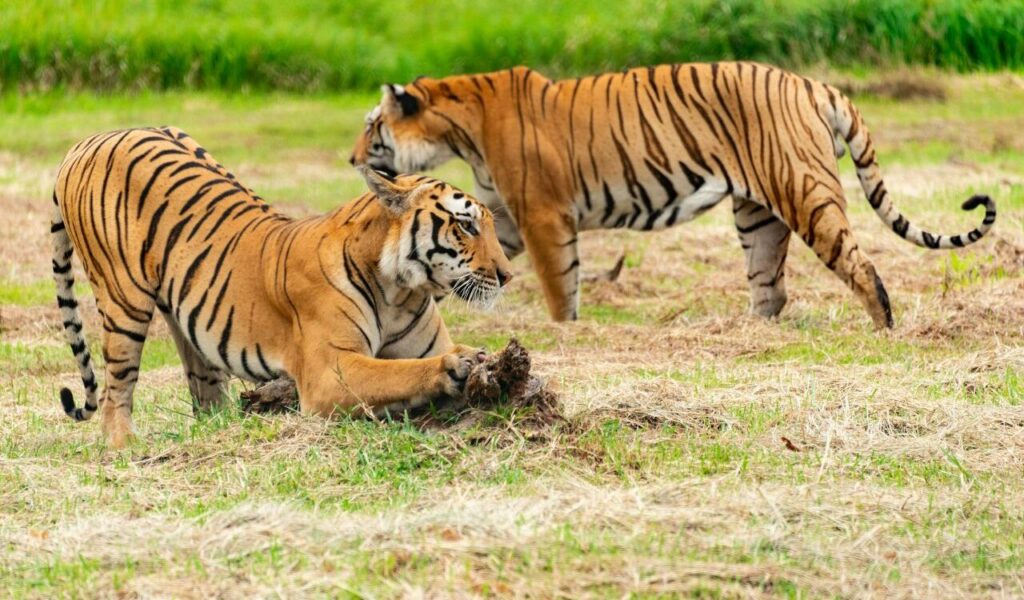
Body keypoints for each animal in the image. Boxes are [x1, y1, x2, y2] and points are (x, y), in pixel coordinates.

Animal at [52, 127, 512, 448]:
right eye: (466, 225)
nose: (507, 275)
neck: (401, 290)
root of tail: (85, 141)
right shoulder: (329, 372)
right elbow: (397, 372)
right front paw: (456, 366)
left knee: (202, 383)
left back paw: (224, 428)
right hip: (122, 300)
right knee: (116, 390)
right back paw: (125, 444)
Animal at [350, 62, 997, 328]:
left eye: (371, 126)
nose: (353, 160)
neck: (461, 126)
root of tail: (814, 83)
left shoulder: (542, 216)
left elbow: (560, 286)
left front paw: (565, 331)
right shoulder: (504, 218)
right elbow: (479, 261)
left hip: (805, 193)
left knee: (862, 268)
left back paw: (885, 331)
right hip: (756, 214)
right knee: (771, 288)